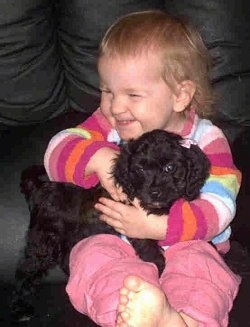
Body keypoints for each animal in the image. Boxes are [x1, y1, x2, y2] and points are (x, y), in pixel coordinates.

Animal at [12, 129, 211, 322]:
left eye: (170, 167)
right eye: (140, 169)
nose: (154, 193)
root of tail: (39, 188)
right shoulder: (135, 226)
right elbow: (150, 250)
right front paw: (159, 271)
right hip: (44, 241)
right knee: (25, 270)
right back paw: (20, 308)